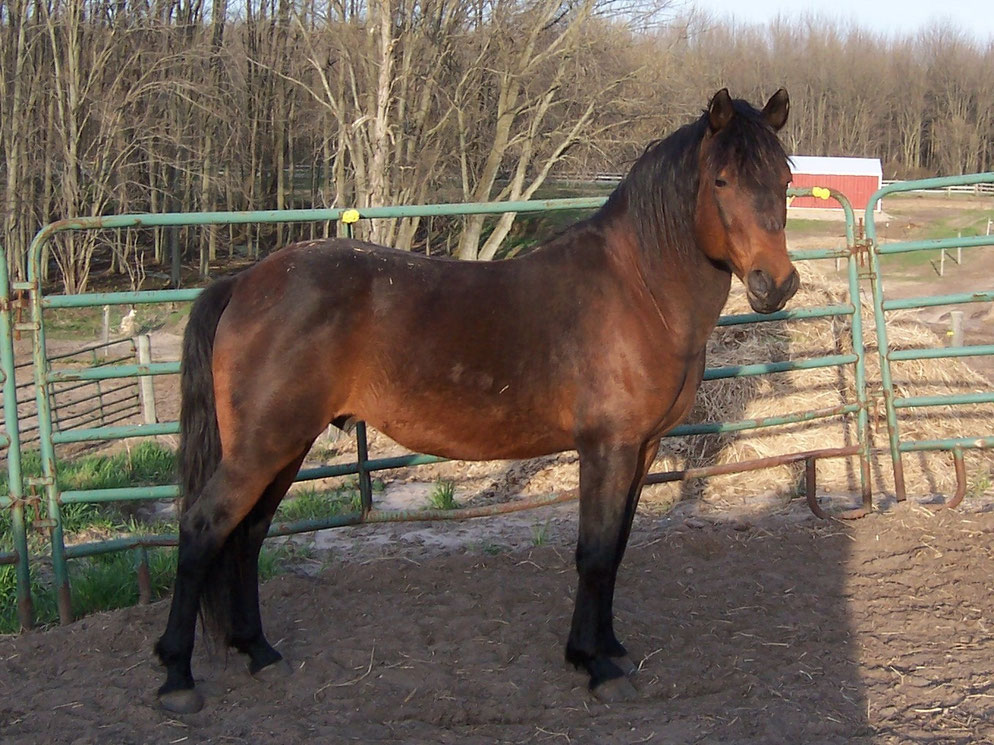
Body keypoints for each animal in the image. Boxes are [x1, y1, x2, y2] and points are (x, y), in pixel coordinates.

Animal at [154, 88, 798, 713]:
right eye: (721, 181)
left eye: (784, 180)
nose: (776, 283)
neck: (639, 291)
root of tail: (245, 281)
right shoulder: (606, 448)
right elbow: (593, 552)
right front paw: (595, 667)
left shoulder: (642, 448)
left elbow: (615, 549)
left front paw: (608, 647)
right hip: (262, 449)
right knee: (204, 528)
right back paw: (178, 679)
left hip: (284, 447)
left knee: (247, 534)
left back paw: (259, 653)